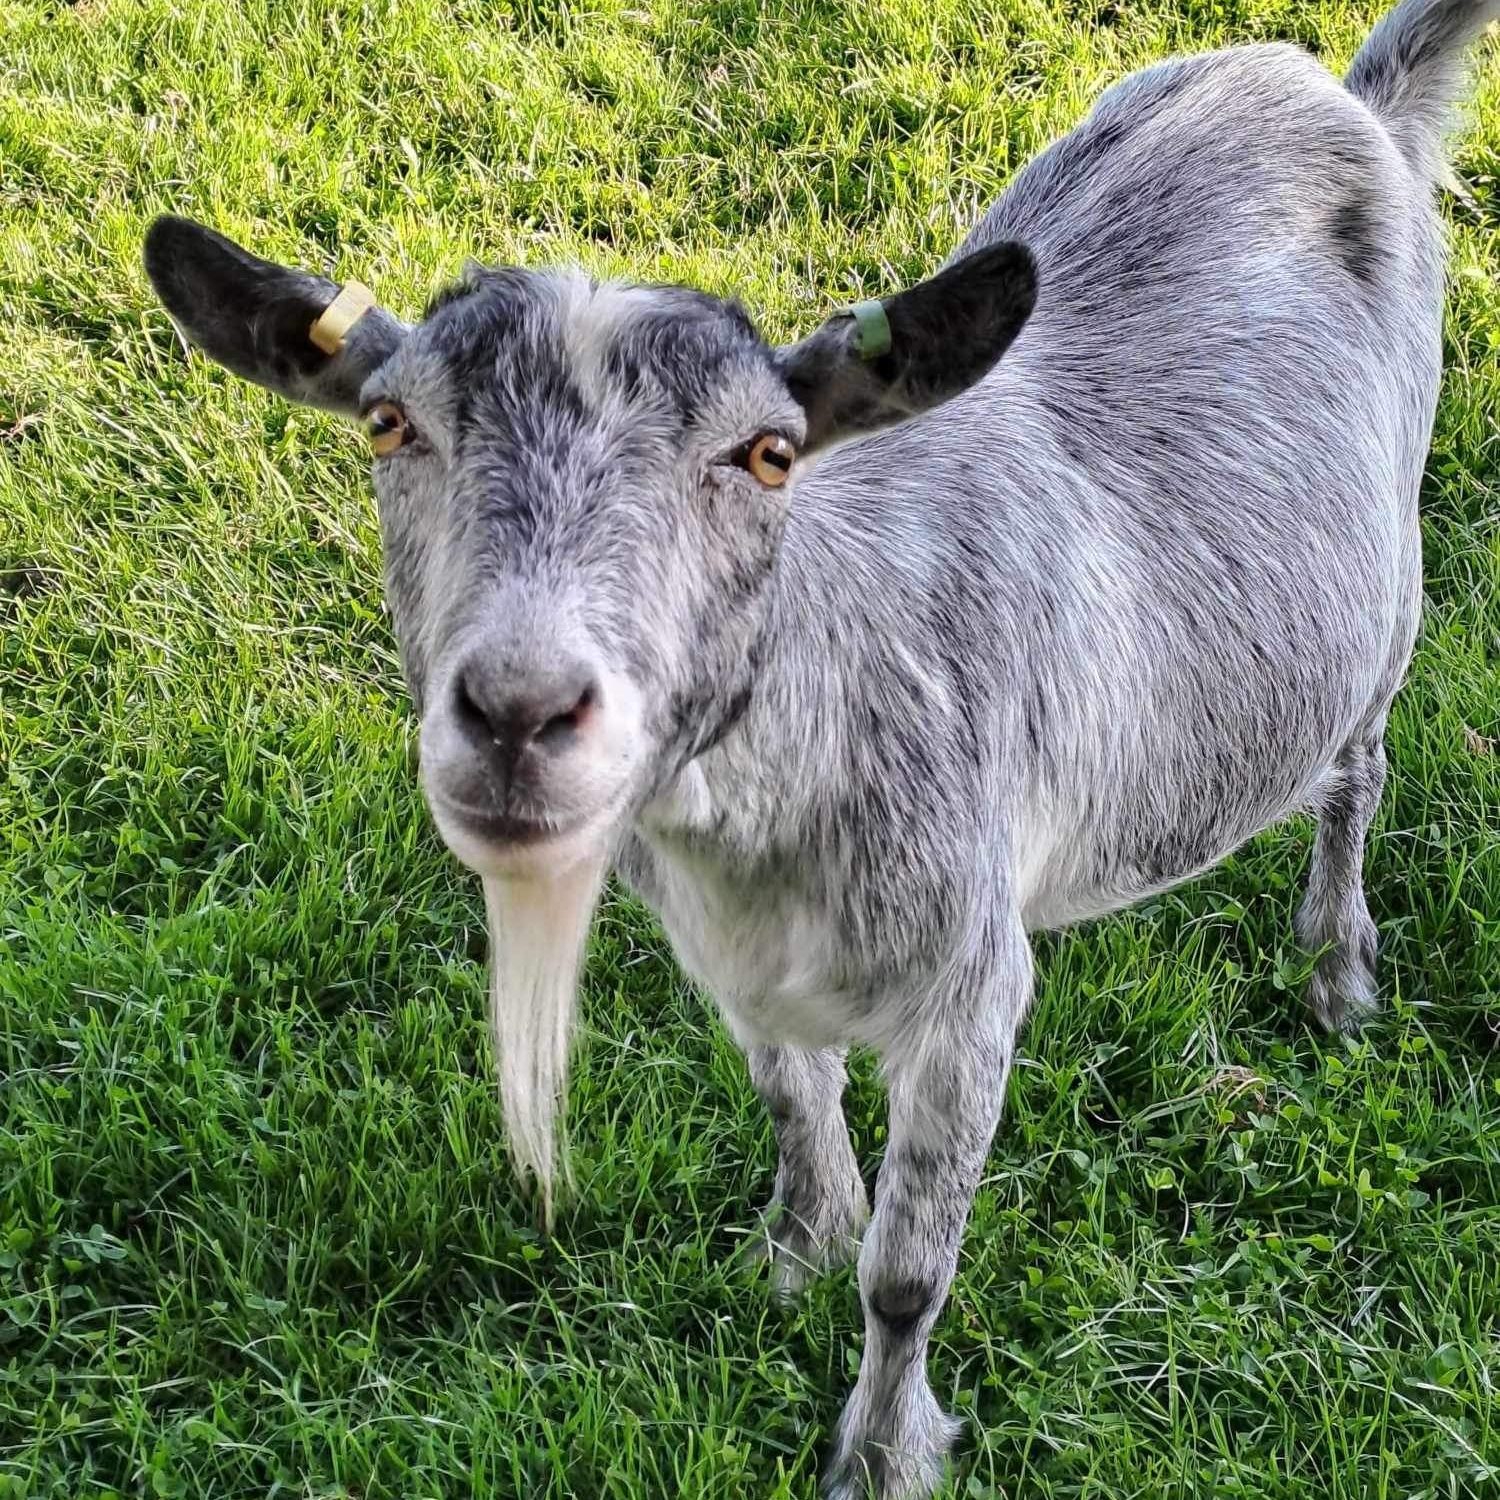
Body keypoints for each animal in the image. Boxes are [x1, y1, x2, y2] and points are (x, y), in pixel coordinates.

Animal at [143, 0, 1497, 1492]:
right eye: (391, 424)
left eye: (769, 454)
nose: (519, 710)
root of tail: (1346, 91)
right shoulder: (729, 959)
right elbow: (790, 1097)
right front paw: (797, 1246)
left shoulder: (971, 989)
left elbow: (907, 1274)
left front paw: (884, 1449)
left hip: (1389, 580)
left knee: (1360, 765)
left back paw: (1337, 972)